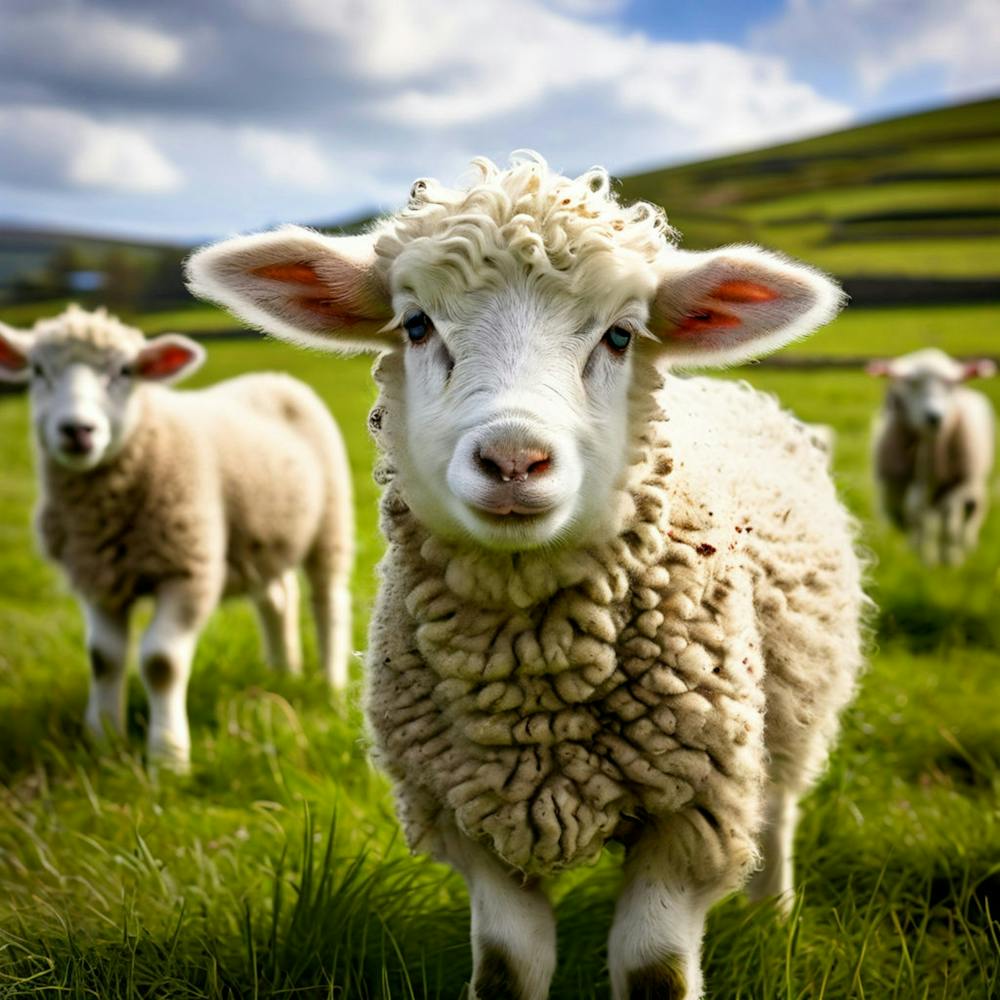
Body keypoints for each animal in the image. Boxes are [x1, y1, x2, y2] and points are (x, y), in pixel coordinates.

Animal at [0, 306, 354, 770]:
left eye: (125, 371)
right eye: (38, 370)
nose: (78, 430)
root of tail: (273, 376)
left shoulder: (190, 572)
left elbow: (161, 662)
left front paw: (168, 757)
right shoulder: (98, 579)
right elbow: (103, 658)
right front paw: (103, 739)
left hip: (330, 522)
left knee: (328, 601)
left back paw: (332, 686)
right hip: (262, 537)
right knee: (278, 597)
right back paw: (282, 671)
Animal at [187, 154, 866, 1000]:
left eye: (620, 334)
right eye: (417, 325)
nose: (513, 459)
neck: (536, 682)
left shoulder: (692, 811)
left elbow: (654, 970)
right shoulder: (469, 810)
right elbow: (509, 968)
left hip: (789, 715)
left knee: (779, 809)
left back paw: (772, 911)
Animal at [868, 349, 996, 565]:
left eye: (952, 383)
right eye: (911, 383)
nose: (934, 417)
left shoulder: (956, 485)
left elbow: (946, 526)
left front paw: (949, 560)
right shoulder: (893, 489)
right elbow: (911, 519)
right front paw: (920, 556)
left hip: (972, 484)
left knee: (970, 511)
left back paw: (965, 544)